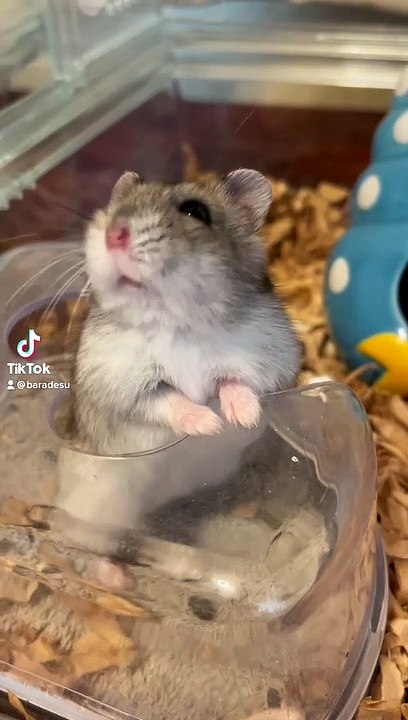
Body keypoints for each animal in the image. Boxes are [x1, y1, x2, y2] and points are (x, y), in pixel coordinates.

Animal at [71, 169, 300, 455]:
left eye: (196, 211)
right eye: (114, 206)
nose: (113, 235)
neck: (173, 322)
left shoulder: (272, 360)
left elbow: (236, 381)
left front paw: (245, 418)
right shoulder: (120, 387)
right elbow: (166, 399)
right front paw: (210, 424)